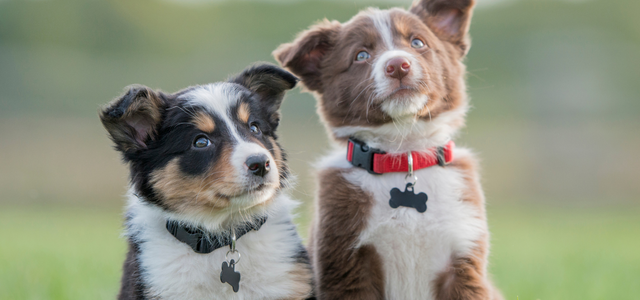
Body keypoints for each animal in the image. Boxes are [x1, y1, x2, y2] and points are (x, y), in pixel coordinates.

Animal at [276, 0, 504, 298]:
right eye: (361, 55)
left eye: (417, 42)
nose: (398, 65)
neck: (403, 153)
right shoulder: (346, 265)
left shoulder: (463, 256)